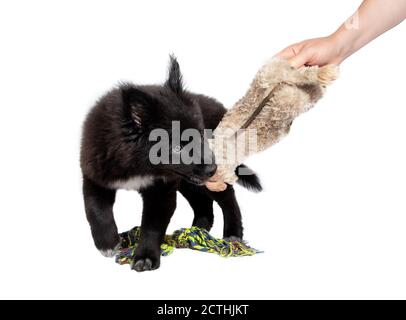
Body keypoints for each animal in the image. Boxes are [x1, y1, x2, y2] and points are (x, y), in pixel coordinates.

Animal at [81, 56, 262, 272]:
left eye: (201, 135)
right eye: (177, 147)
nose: (213, 169)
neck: (138, 165)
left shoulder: (162, 190)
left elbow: (152, 225)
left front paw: (146, 256)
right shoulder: (95, 176)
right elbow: (96, 211)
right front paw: (108, 243)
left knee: (228, 198)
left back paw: (233, 233)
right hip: (189, 182)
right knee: (202, 201)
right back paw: (199, 228)